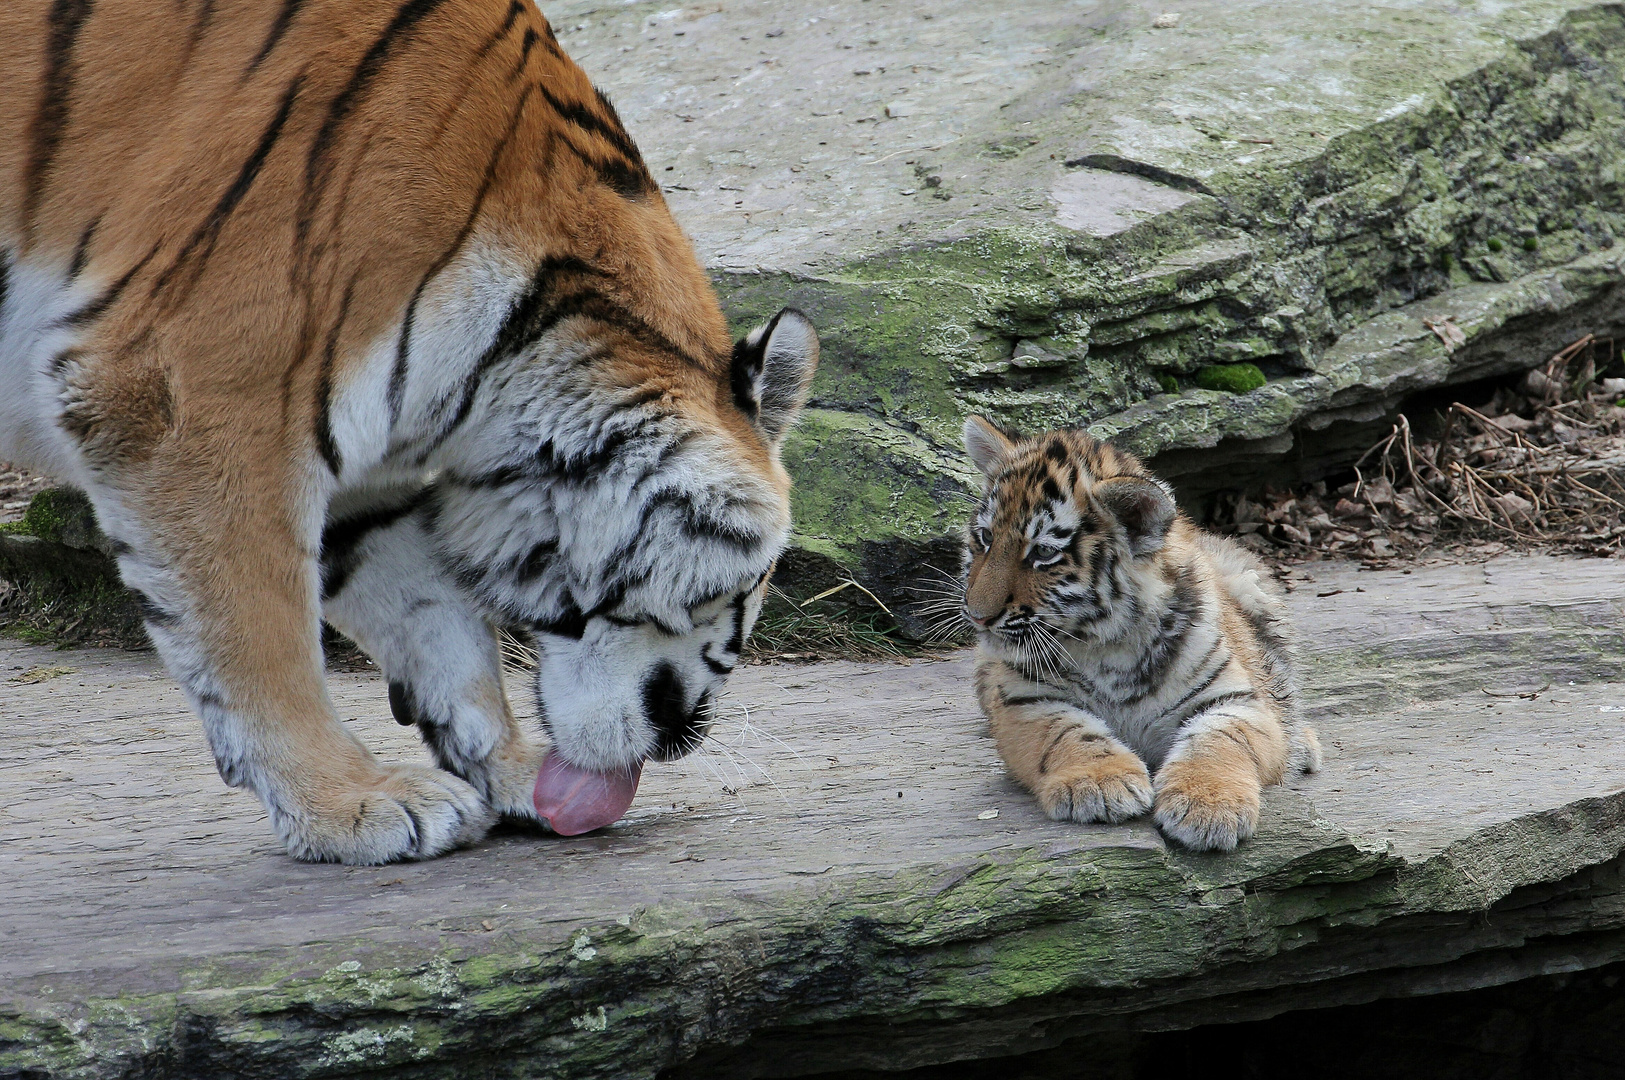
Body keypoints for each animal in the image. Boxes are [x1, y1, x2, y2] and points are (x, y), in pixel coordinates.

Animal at [0, 0, 812, 857]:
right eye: (744, 585)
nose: (680, 739)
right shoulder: (198, 400)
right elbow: (258, 634)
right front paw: (349, 803)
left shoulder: (357, 460)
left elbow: (433, 618)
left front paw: (509, 768)